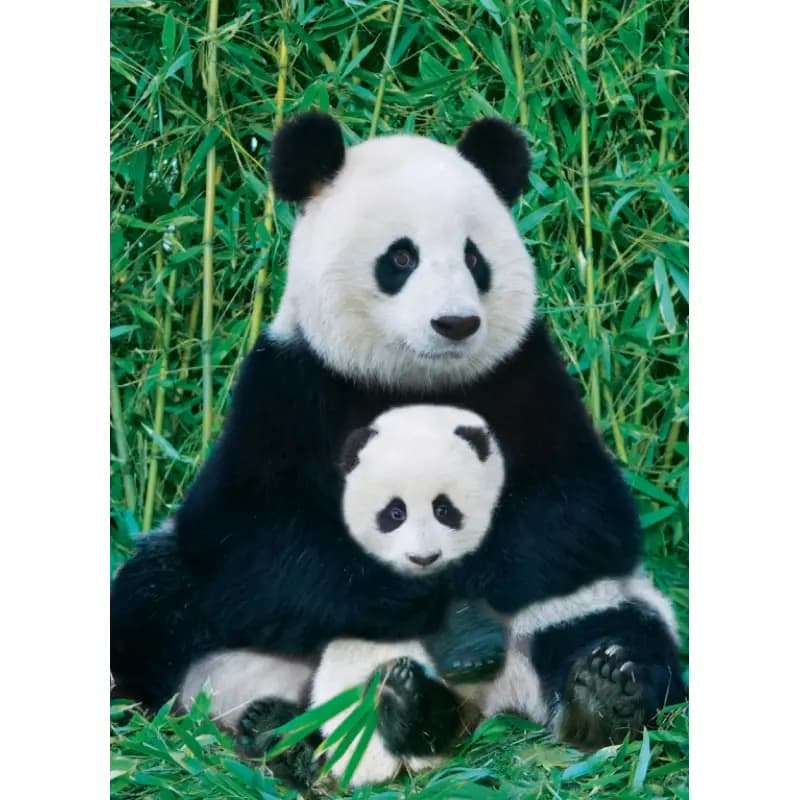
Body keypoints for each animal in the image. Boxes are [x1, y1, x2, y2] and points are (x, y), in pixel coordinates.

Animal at [110, 111, 685, 774]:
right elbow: (247, 535)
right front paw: (423, 595)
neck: (413, 379)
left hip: (590, 602)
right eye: (402, 257)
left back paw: (598, 693)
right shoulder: (287, 386)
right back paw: (288, 729)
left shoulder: (526, 375)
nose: (455, 323)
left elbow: (582, 511)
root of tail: (490, 702)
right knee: (153, 602)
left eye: (473, 257)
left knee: (619, 628)